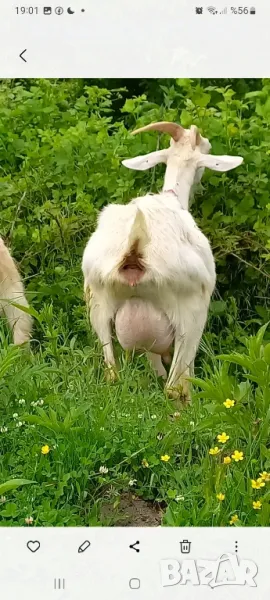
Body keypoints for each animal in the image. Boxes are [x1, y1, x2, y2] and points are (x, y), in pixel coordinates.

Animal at [82, 120, 243, 404]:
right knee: (176, 386)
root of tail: (135, 250)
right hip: (190, 314)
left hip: (97, 305)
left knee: (112, 375)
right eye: (206, 149)